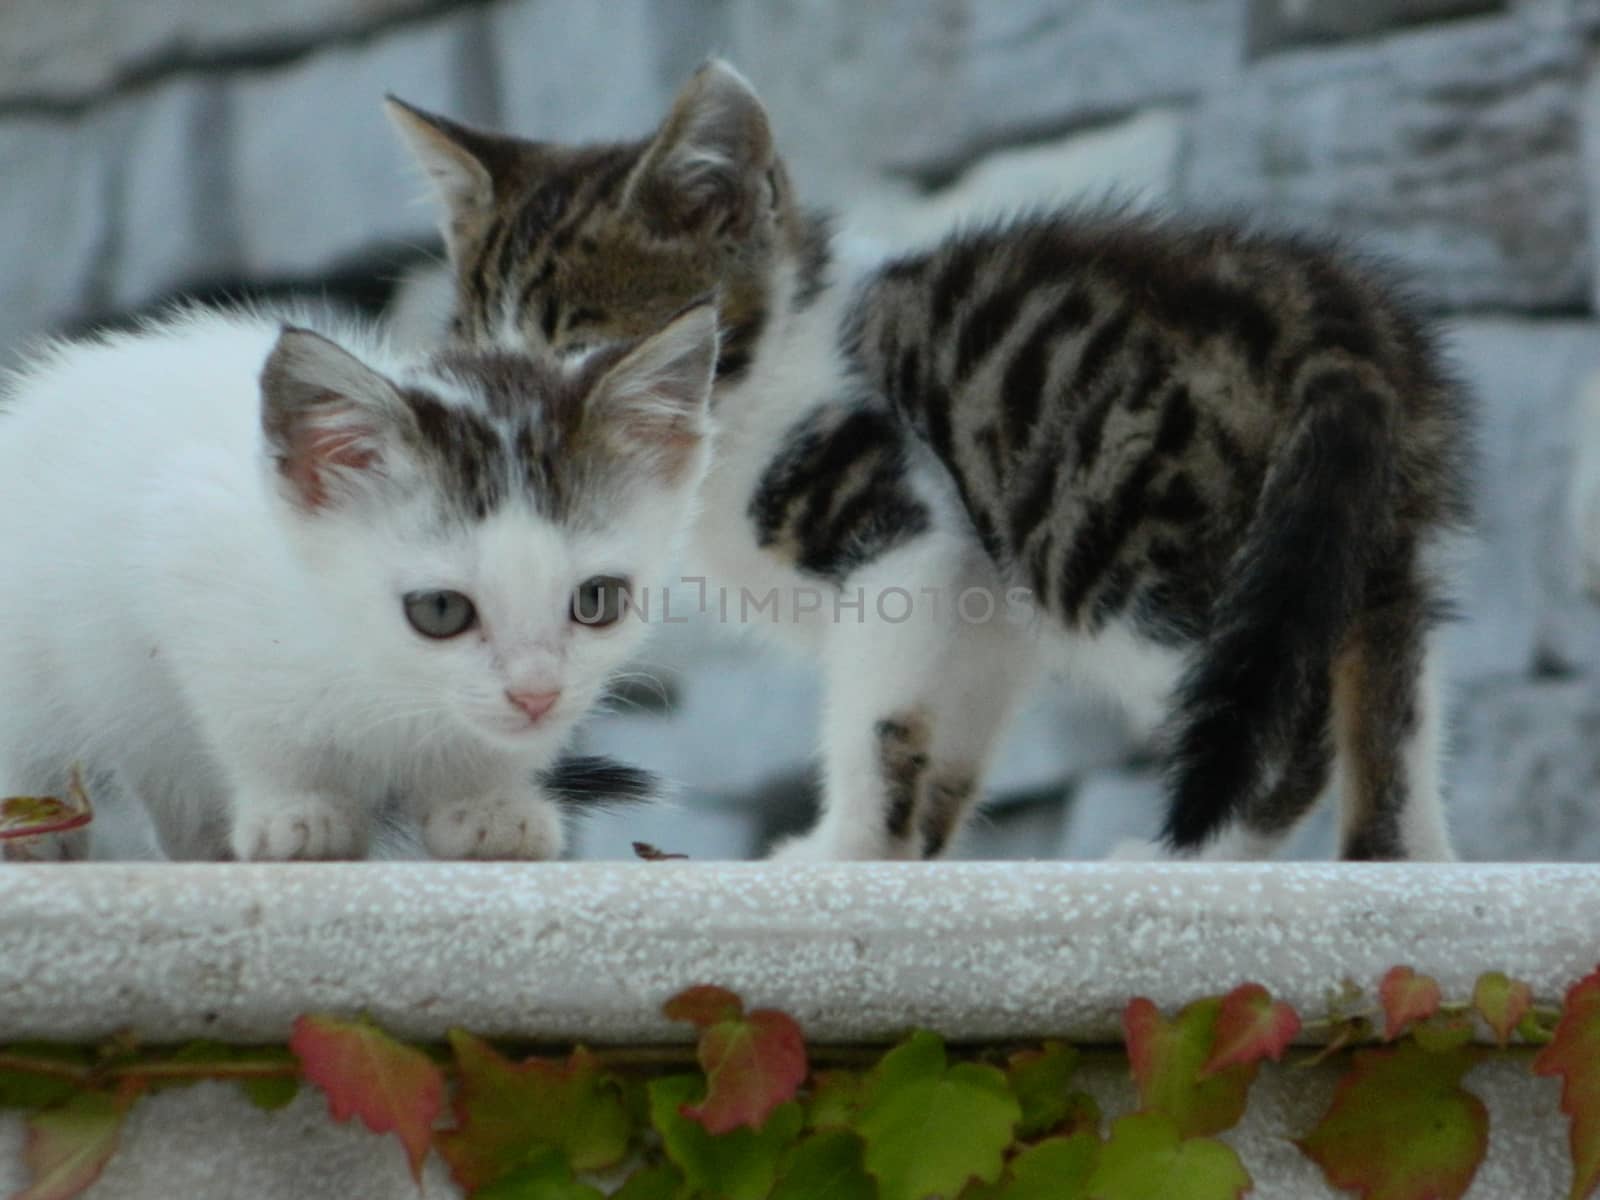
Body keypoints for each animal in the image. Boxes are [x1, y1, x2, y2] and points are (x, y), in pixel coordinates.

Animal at [0, 302, 713, 864]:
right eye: (440, 609)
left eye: (598, 599)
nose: (536, 696)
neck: (382, 679)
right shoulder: (187, 551)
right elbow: (253, 720)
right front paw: (298, 809)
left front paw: (485, 801)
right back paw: (38, 827)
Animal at [384, 58, 1465, 864]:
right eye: (481, 347)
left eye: (579, 345)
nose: (522, 417)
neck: (754, 388)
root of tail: (1334, 317)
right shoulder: (979, 601)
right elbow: (945, 735)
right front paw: (909, 853)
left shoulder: (905, 530)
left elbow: (877, 719)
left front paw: (842, 853)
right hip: (1355, 532)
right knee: (1389, 682)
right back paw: (1398, 864)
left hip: (1113, 530)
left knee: (1278, 727)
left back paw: (1189, 860)